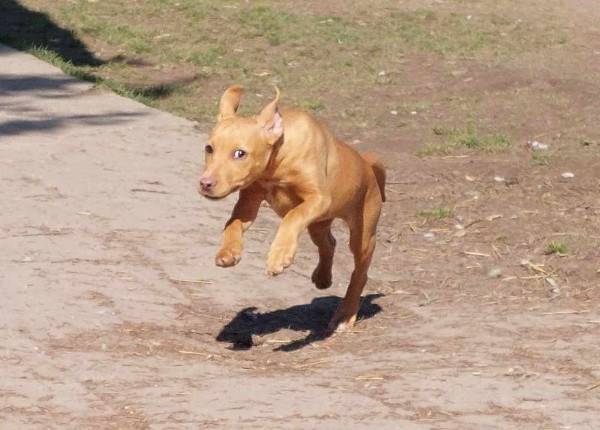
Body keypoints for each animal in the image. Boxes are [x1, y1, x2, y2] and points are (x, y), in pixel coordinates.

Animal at [198, 85, 385, 332]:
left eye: (240, 153)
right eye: (209, 149)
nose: (205, 184)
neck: (277, 163)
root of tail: (367, 164)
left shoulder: (318, 198)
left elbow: (293, 216)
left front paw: (278, 256)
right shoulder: (248, 202)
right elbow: (233, 224)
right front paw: (228, 252)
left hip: (362, 233)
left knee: (360, 272)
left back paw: (345, 315)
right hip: (318, 224)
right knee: (328, 243)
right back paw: (323, 277)